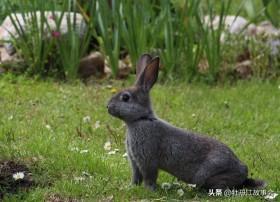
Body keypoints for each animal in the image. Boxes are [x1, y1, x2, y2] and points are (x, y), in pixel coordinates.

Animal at [106, 53, 264, 191]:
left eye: (125, 98)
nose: (107, 106)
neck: (141, 119)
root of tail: (243, 172)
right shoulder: (134, 162)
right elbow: (136, 177)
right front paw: (131, 187)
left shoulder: (148, 161)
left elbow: (149, 177)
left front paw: (149, 191)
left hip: (208, 174)